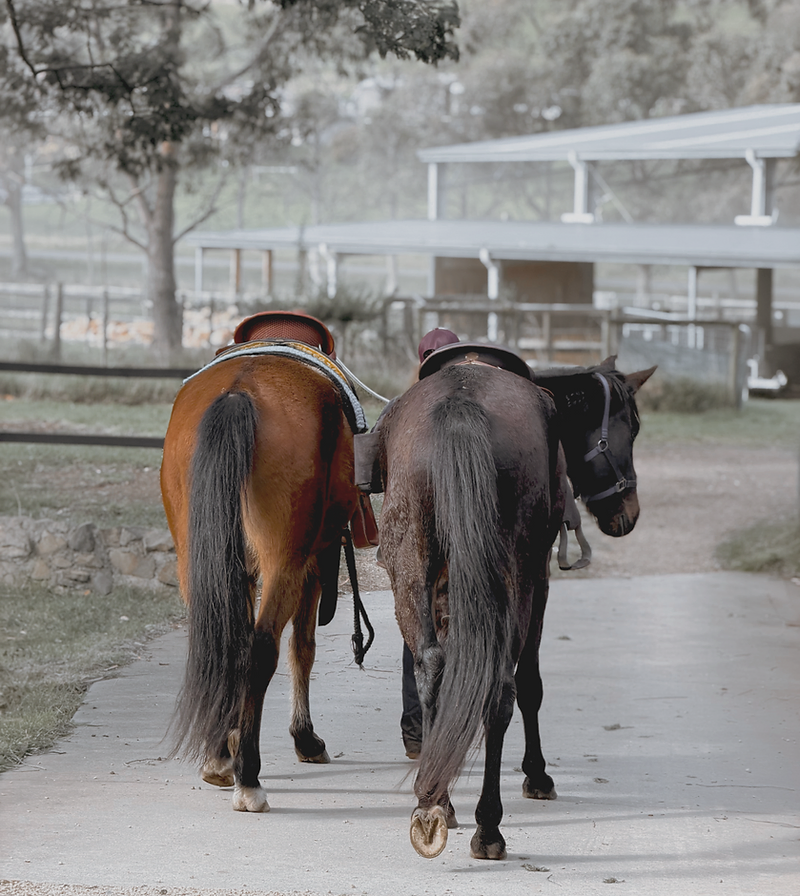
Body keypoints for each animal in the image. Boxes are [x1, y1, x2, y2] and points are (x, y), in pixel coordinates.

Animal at [160, 312, 363, 813]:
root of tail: (239, 392)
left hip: (198, 562)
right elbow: (303, 648)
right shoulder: (313, 565)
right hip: (284, 565)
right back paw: (247, 776)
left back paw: (219, 759)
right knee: (261, 648)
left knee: (221, 643)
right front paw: (304, 738)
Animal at [376, 354, 653, 860]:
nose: (628, 513)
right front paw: (537, 774)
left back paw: (435, 801)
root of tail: (461, 406)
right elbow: (531, 685)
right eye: (634, 427)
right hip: (518, 579)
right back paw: (489, 825)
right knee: (501, 689)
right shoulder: (539, 582)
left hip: (410, 563)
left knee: (432, 668)